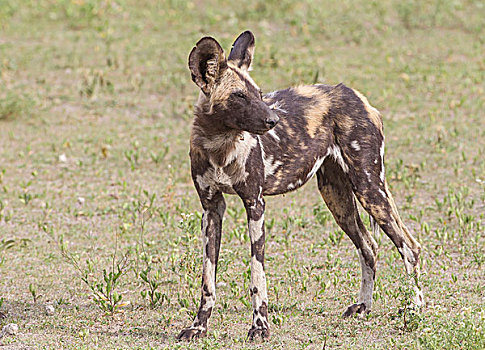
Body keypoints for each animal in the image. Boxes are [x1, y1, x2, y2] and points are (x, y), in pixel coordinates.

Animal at [176, 31, 422, 340]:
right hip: (337, 198)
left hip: (369, 188)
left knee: (410, 247)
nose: (273, 120)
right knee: (369, 246)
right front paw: (199, 326)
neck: (220, 145)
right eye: (239, 96)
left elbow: (257, 277)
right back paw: (364, 307)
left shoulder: (255, 204)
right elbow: (208, 280)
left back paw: (414, 310)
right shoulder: (211, 209)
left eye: (259, 94)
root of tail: (356, 96)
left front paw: (260, 327)